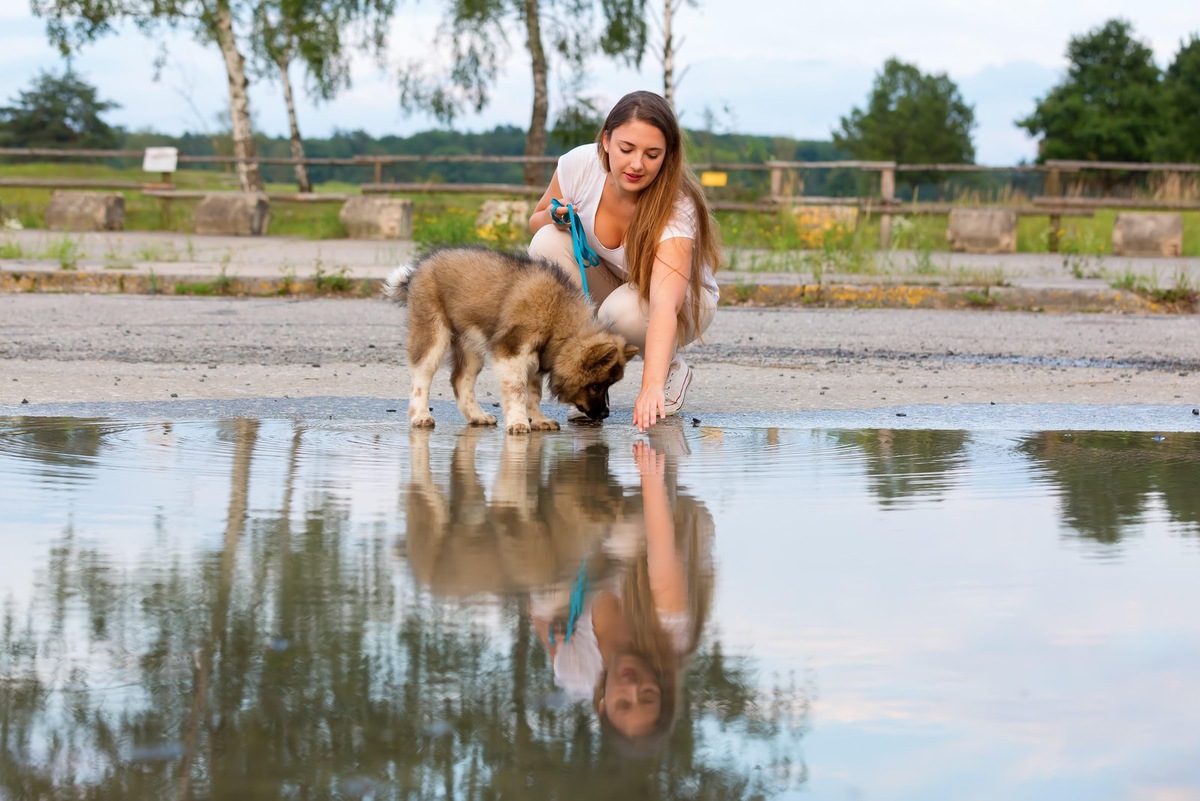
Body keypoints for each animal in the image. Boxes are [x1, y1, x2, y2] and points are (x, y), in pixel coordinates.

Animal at [384, 245, 638, 434]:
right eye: (596, 385)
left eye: (609, 385)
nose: (606, 413)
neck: (557, 320)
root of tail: (418, 270)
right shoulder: (512, 352)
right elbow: (517, 390)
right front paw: (518, 422)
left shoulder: (537, 358)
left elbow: (534, 393)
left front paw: (538, 419)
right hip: (433, 333)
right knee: (421, 376)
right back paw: (421, 416)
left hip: (470, 343)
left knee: (460, 380)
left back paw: (477, 416)